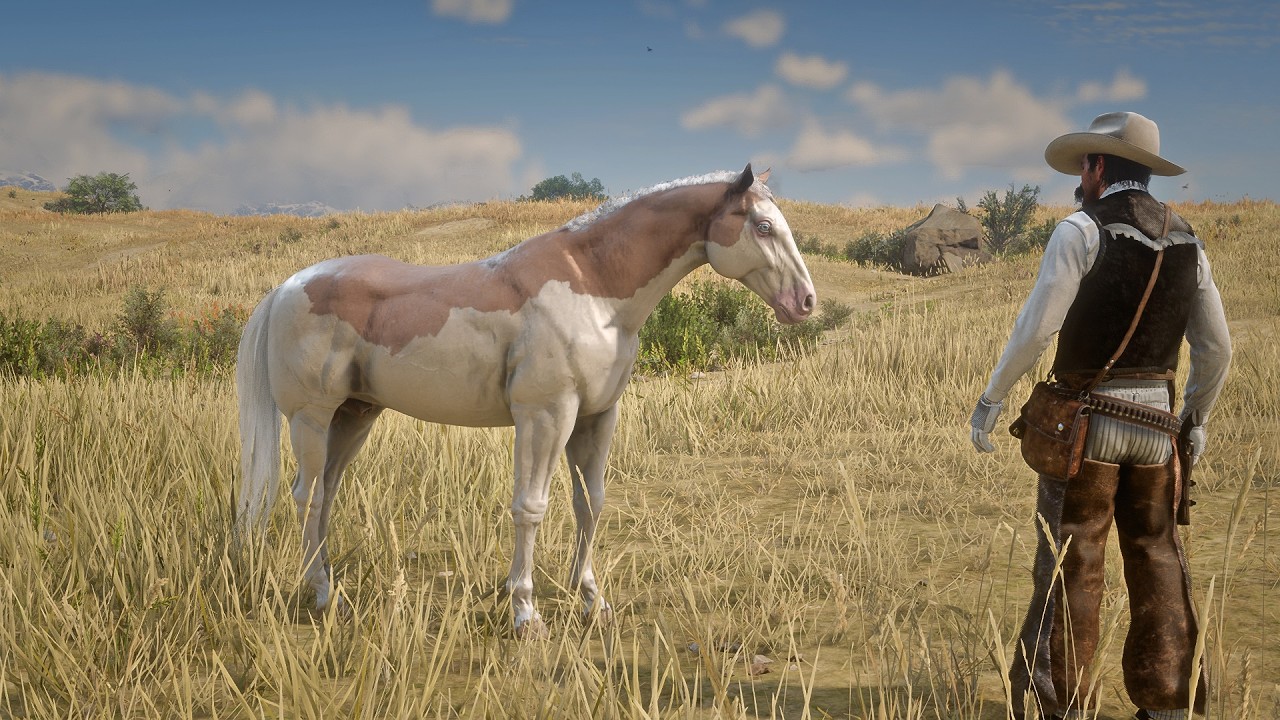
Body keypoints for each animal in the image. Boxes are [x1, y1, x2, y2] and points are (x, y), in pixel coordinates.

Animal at [233, 164, 815, 635]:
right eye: (762, 225)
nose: (805, 301)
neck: (594, 289)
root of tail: (288, 286)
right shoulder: (545, 416)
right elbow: (530, 508)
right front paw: (525, 613)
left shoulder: (597, 417)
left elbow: (590, 502)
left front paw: (593, 602)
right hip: (311, 419)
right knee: (307, 496)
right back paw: (320, 594)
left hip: (354, 417)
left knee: (328, 494)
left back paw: (331, 586)